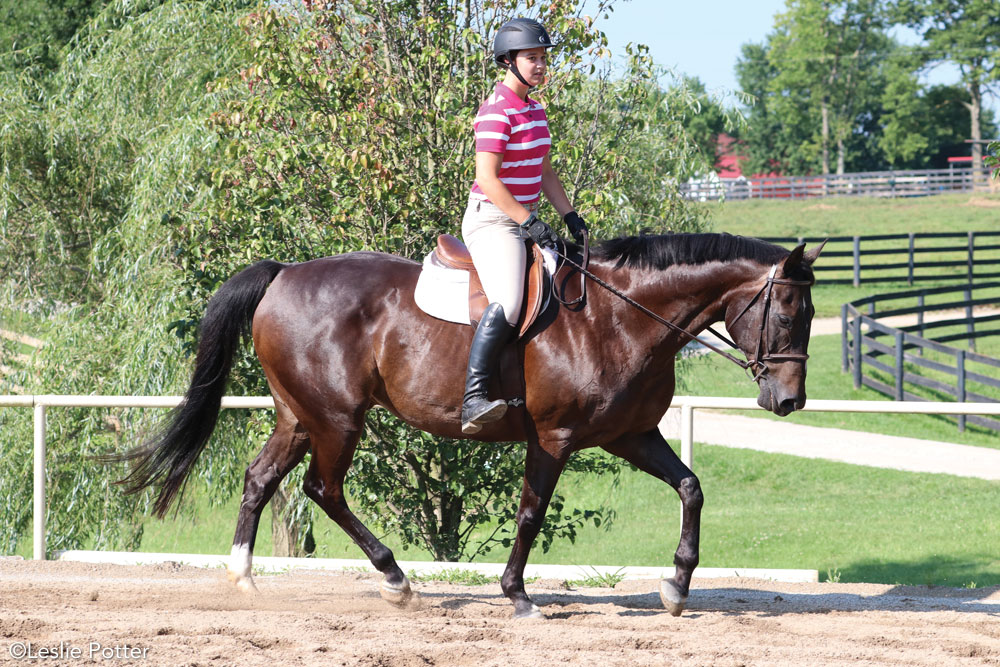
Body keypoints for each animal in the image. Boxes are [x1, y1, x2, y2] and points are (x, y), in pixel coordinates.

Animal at [113, 232, 824, 620]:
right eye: (789, 313)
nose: (789, 402)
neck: (621, 318)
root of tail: (284, 274)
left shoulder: (631, 435)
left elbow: (691, 488)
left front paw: (676, 587)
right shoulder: (554, 438)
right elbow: (531, 514)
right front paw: (518, 596)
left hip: (300, 415)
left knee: (261, 477)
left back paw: (245, 577)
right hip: (337, 418)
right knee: (323, 489)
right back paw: (395, 580)